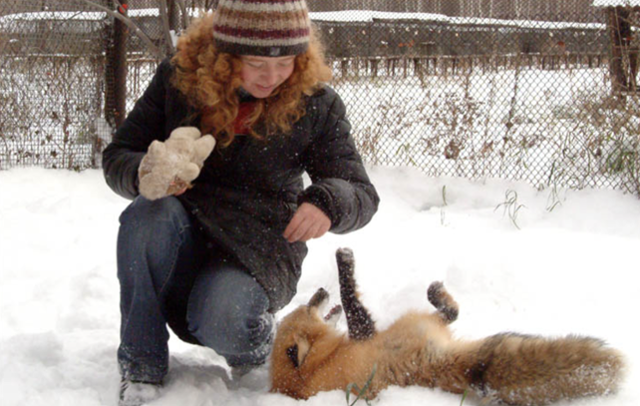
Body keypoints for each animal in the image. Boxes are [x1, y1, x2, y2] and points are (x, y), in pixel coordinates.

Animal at [270, 249, 624, 404]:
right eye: (306, 308)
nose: (318, 291)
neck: (316, 366)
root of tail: (435, 368)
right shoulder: (363, 334)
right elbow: (351, 297)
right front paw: (344, 261)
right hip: (412, 324)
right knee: (451, 312)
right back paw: (436, 291)